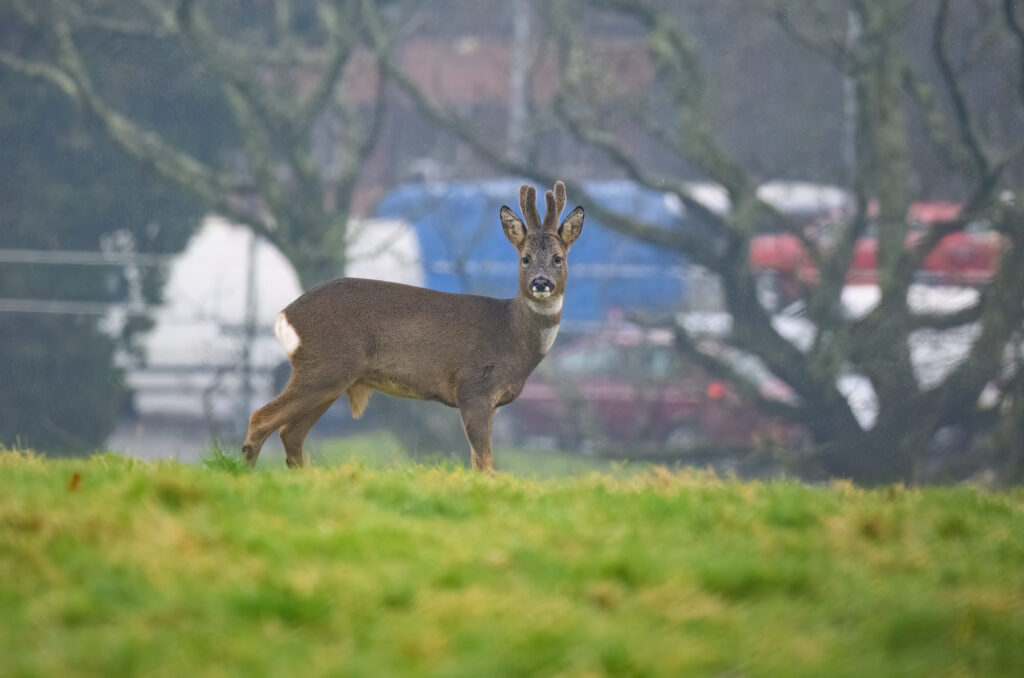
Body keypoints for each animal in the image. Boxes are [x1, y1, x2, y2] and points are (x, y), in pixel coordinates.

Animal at [241, 181, 584, 471]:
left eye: (558, 258)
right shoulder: (473, 388)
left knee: (291, 434)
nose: (541, 283)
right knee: (261, 419)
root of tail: (285, 315)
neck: (510, 336)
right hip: (324, 367)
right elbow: (484, 462)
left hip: (330, 377)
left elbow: (480, 461)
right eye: (525, 258)